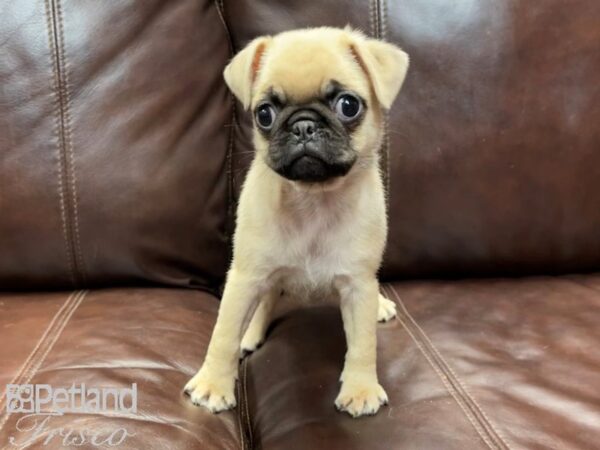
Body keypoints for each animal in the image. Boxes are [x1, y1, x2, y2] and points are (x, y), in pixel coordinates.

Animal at [183, 26, 408, 416]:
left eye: (348, 105)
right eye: (264, 114)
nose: (303, 125)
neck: (313, 200)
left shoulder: (357, 285)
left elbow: (363, 343)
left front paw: (361, 387)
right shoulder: (245, 277)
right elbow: (223, 334)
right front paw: (213, 383)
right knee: (263, 303)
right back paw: (250, 334)